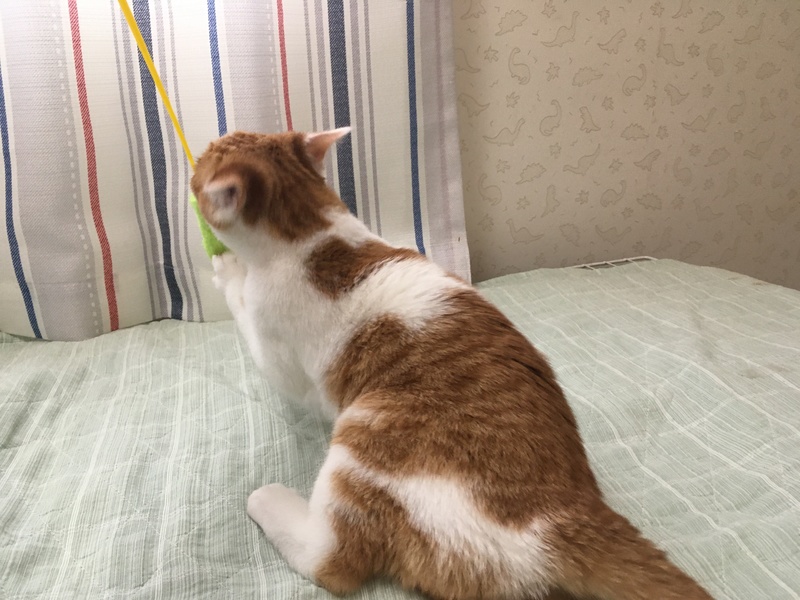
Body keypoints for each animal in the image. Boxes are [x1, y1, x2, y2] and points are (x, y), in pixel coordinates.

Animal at [190, 128, 713, 600]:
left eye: (204, 160)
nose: (198, 155)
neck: (311, 229)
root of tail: (566, 512)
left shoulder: (279, 349)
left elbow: (249, 321)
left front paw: (225, 270)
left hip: (364, 439)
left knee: (331, 560)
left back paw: (269, 500)